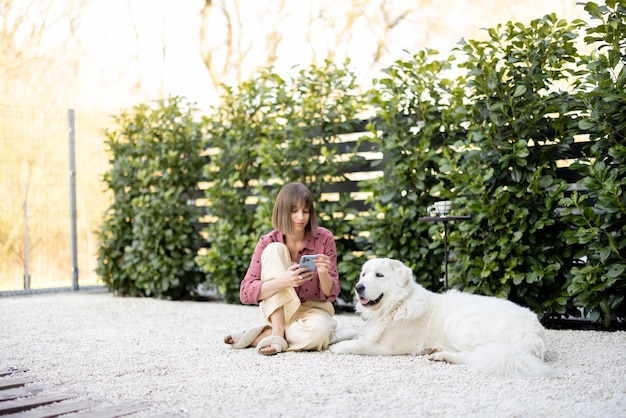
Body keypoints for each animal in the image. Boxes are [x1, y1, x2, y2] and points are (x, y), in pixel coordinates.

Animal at [330, 258, 552, 378]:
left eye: (379, 275)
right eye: (363, 274)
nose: (358, 287)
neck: (397, 305)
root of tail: (534, 333)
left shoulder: (387, 347)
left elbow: (358, 344)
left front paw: (337, 347)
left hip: (458, 321)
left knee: (475, 355)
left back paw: (442, 356)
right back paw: (435, 350)